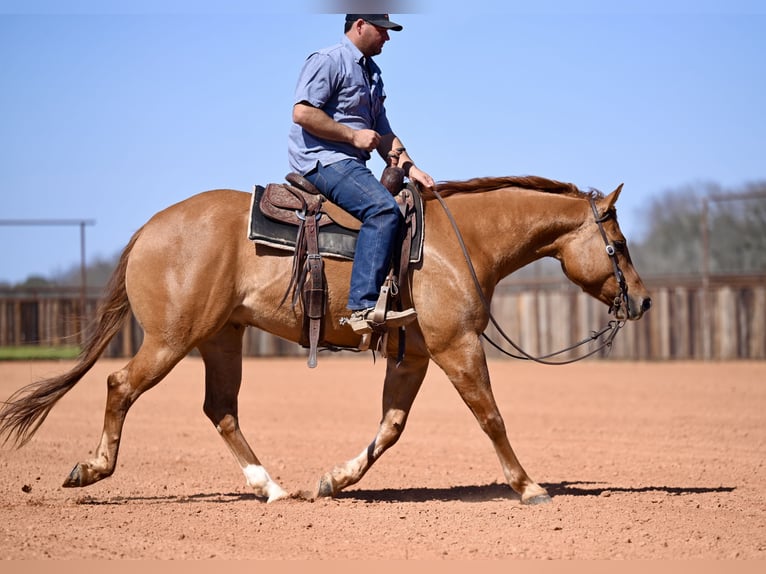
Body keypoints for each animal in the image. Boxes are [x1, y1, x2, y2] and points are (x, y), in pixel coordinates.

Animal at [0, 174, 652, 504]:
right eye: (618, 246)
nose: (643, 300)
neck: (457, 241)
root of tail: (147, 229)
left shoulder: (415, 356)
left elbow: (391, 427)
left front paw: (335, 480)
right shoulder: (457, 346)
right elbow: (491, 416)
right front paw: (529, 486)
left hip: (221, 339)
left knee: (220, 409)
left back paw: (272, 489)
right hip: (170, 339)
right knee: (120, 384)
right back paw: (91, 469)